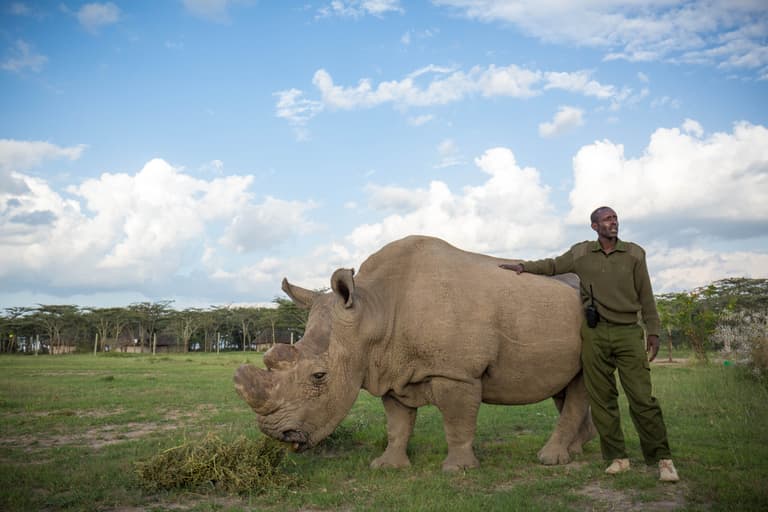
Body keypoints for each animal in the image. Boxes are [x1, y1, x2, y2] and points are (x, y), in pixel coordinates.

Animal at [234, 235, 595, 471]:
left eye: (319, 376)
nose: (274, 433)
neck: (373, 311)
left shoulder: (457, 372)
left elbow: (457, 422)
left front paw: (457, 470)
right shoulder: (389, 370)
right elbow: (397, 425)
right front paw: (387, 466)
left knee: (580, 385)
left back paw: (550, 459)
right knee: (565, 386)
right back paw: (578, 451)